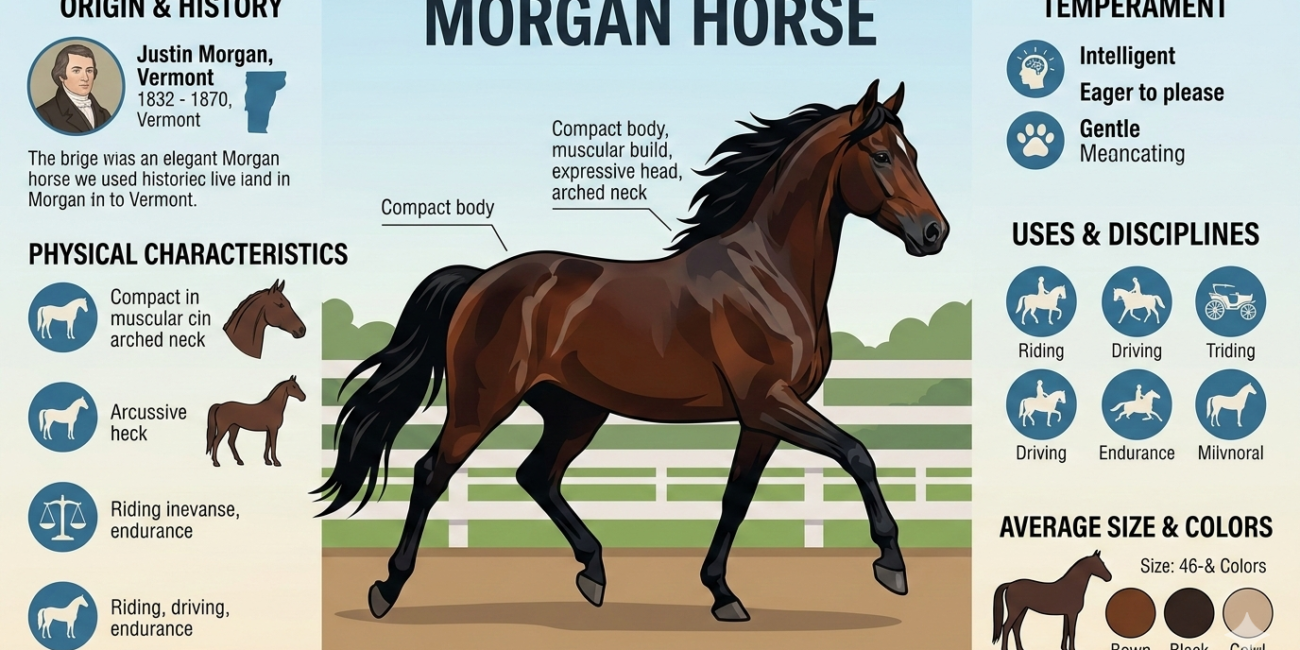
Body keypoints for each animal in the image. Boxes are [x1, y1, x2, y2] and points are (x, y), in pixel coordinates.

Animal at [313, 80, 950, 622]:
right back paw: (387, 589)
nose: (934, 234)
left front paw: (721, 594)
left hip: (576, 409)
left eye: (914, 152)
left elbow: (736, 499)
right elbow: (857, 453)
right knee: (432, 472)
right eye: (882, 156)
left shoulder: (761, 418)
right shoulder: (769, 401)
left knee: (536, 474)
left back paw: (593, 573)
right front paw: (891, 565)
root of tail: (479, 281)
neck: (768, 273)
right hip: (483, 402)